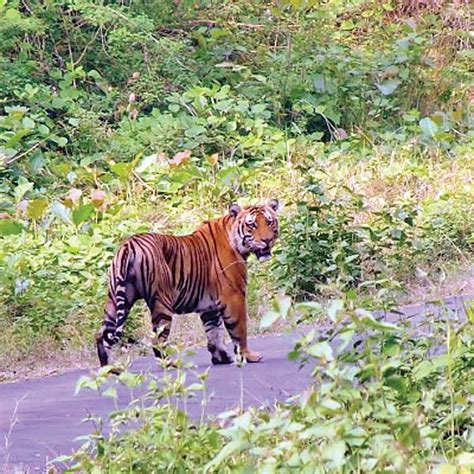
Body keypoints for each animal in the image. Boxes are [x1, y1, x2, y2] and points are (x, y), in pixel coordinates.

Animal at [97, 199, 280, 366]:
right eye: (252, 225)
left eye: (269, 222)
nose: (267, 240)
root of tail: (129, 245)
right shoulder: (234, 295)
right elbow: (239, 330)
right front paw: (249, 356)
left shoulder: (209, 305)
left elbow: (214, 332)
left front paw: (221, 358)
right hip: (161, 302)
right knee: (157, 340)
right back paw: (170, 364)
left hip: (116, 300)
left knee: (101, 335)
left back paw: (109, 370)